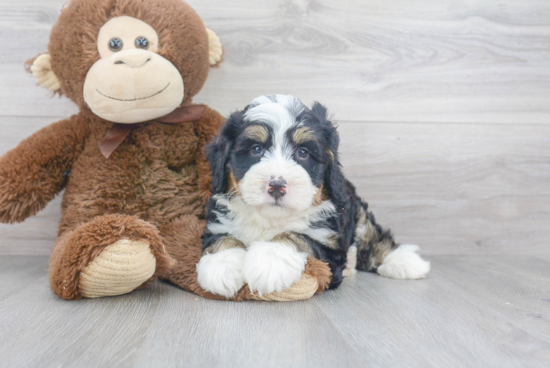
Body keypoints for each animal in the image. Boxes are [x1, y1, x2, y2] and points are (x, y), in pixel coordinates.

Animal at [196, 95, 434, 300]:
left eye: (303, 153)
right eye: (256, 149)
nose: (277, 186)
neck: (271, 219)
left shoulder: (330, 246)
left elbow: (299, 237)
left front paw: (270, 261)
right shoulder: (217, 224)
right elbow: (223, 239)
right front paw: (221, 267)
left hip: (357, 211)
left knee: (373, 237)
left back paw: (405, 262)